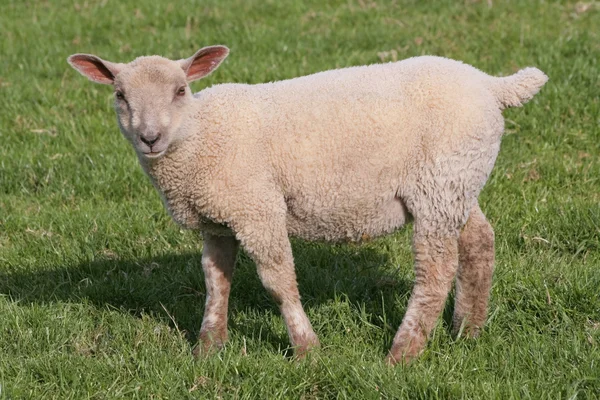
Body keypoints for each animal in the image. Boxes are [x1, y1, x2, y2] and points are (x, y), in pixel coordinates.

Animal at [67, 45, 548, 364]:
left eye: (181, 90)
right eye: (120, 96)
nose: (150, 138)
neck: (201, 137)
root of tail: (490, 84)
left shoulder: (258, 208)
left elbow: (279, 282)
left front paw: (307, 350)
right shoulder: (218, 218)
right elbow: (215, 281)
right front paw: (209, 347)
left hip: (439, 184)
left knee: (436, 269)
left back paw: (402, 354)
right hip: (457, 182)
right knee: (480, 242)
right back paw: (468, 332)